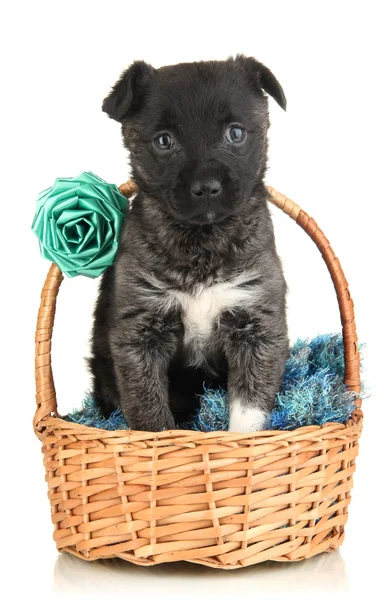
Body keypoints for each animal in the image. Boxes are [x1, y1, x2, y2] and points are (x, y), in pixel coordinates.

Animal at [90, 55, 290, 432]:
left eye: (236, 133)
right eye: (164, 141)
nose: (207, 186)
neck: (202, 242)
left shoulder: (256, 324)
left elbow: (249, 407)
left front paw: (242, 440)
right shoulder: (139, 334)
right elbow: (148, 409)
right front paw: (162, 438)